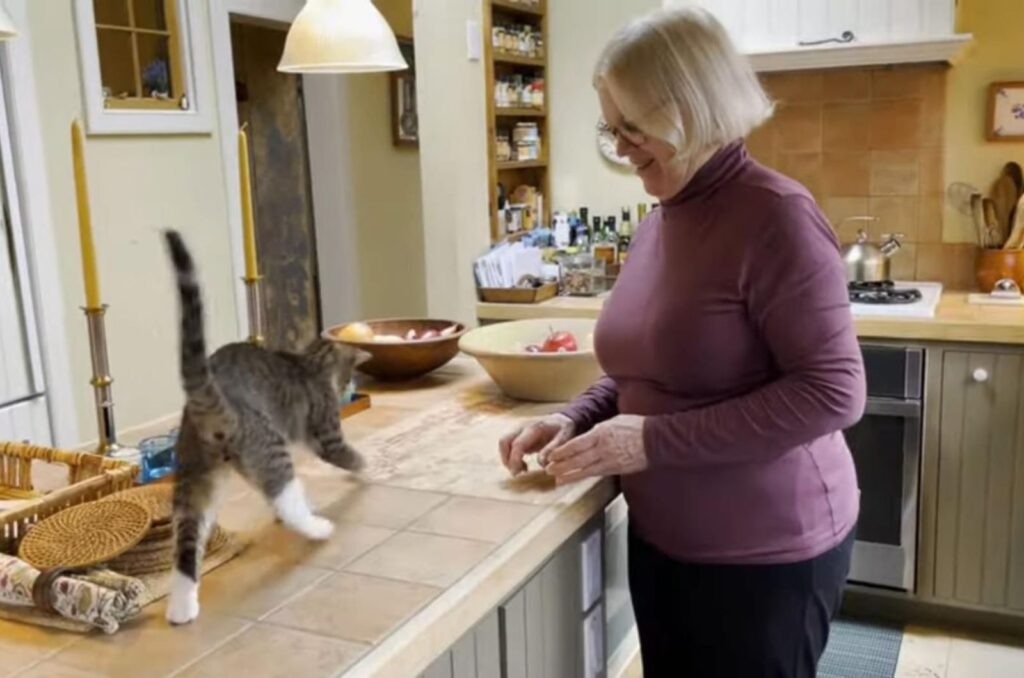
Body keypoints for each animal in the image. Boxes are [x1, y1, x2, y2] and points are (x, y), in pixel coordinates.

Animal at [159, 229, 368, 626]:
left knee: (186, 539)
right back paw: (318, 528)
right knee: (286, 500)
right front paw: (369, 468)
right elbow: (349, 455)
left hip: (195, 475)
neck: (312, 359)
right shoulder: (326, 434)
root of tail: (213, 400)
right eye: (350, 373)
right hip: (270, 449)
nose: (350, 386)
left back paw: (182, 609)